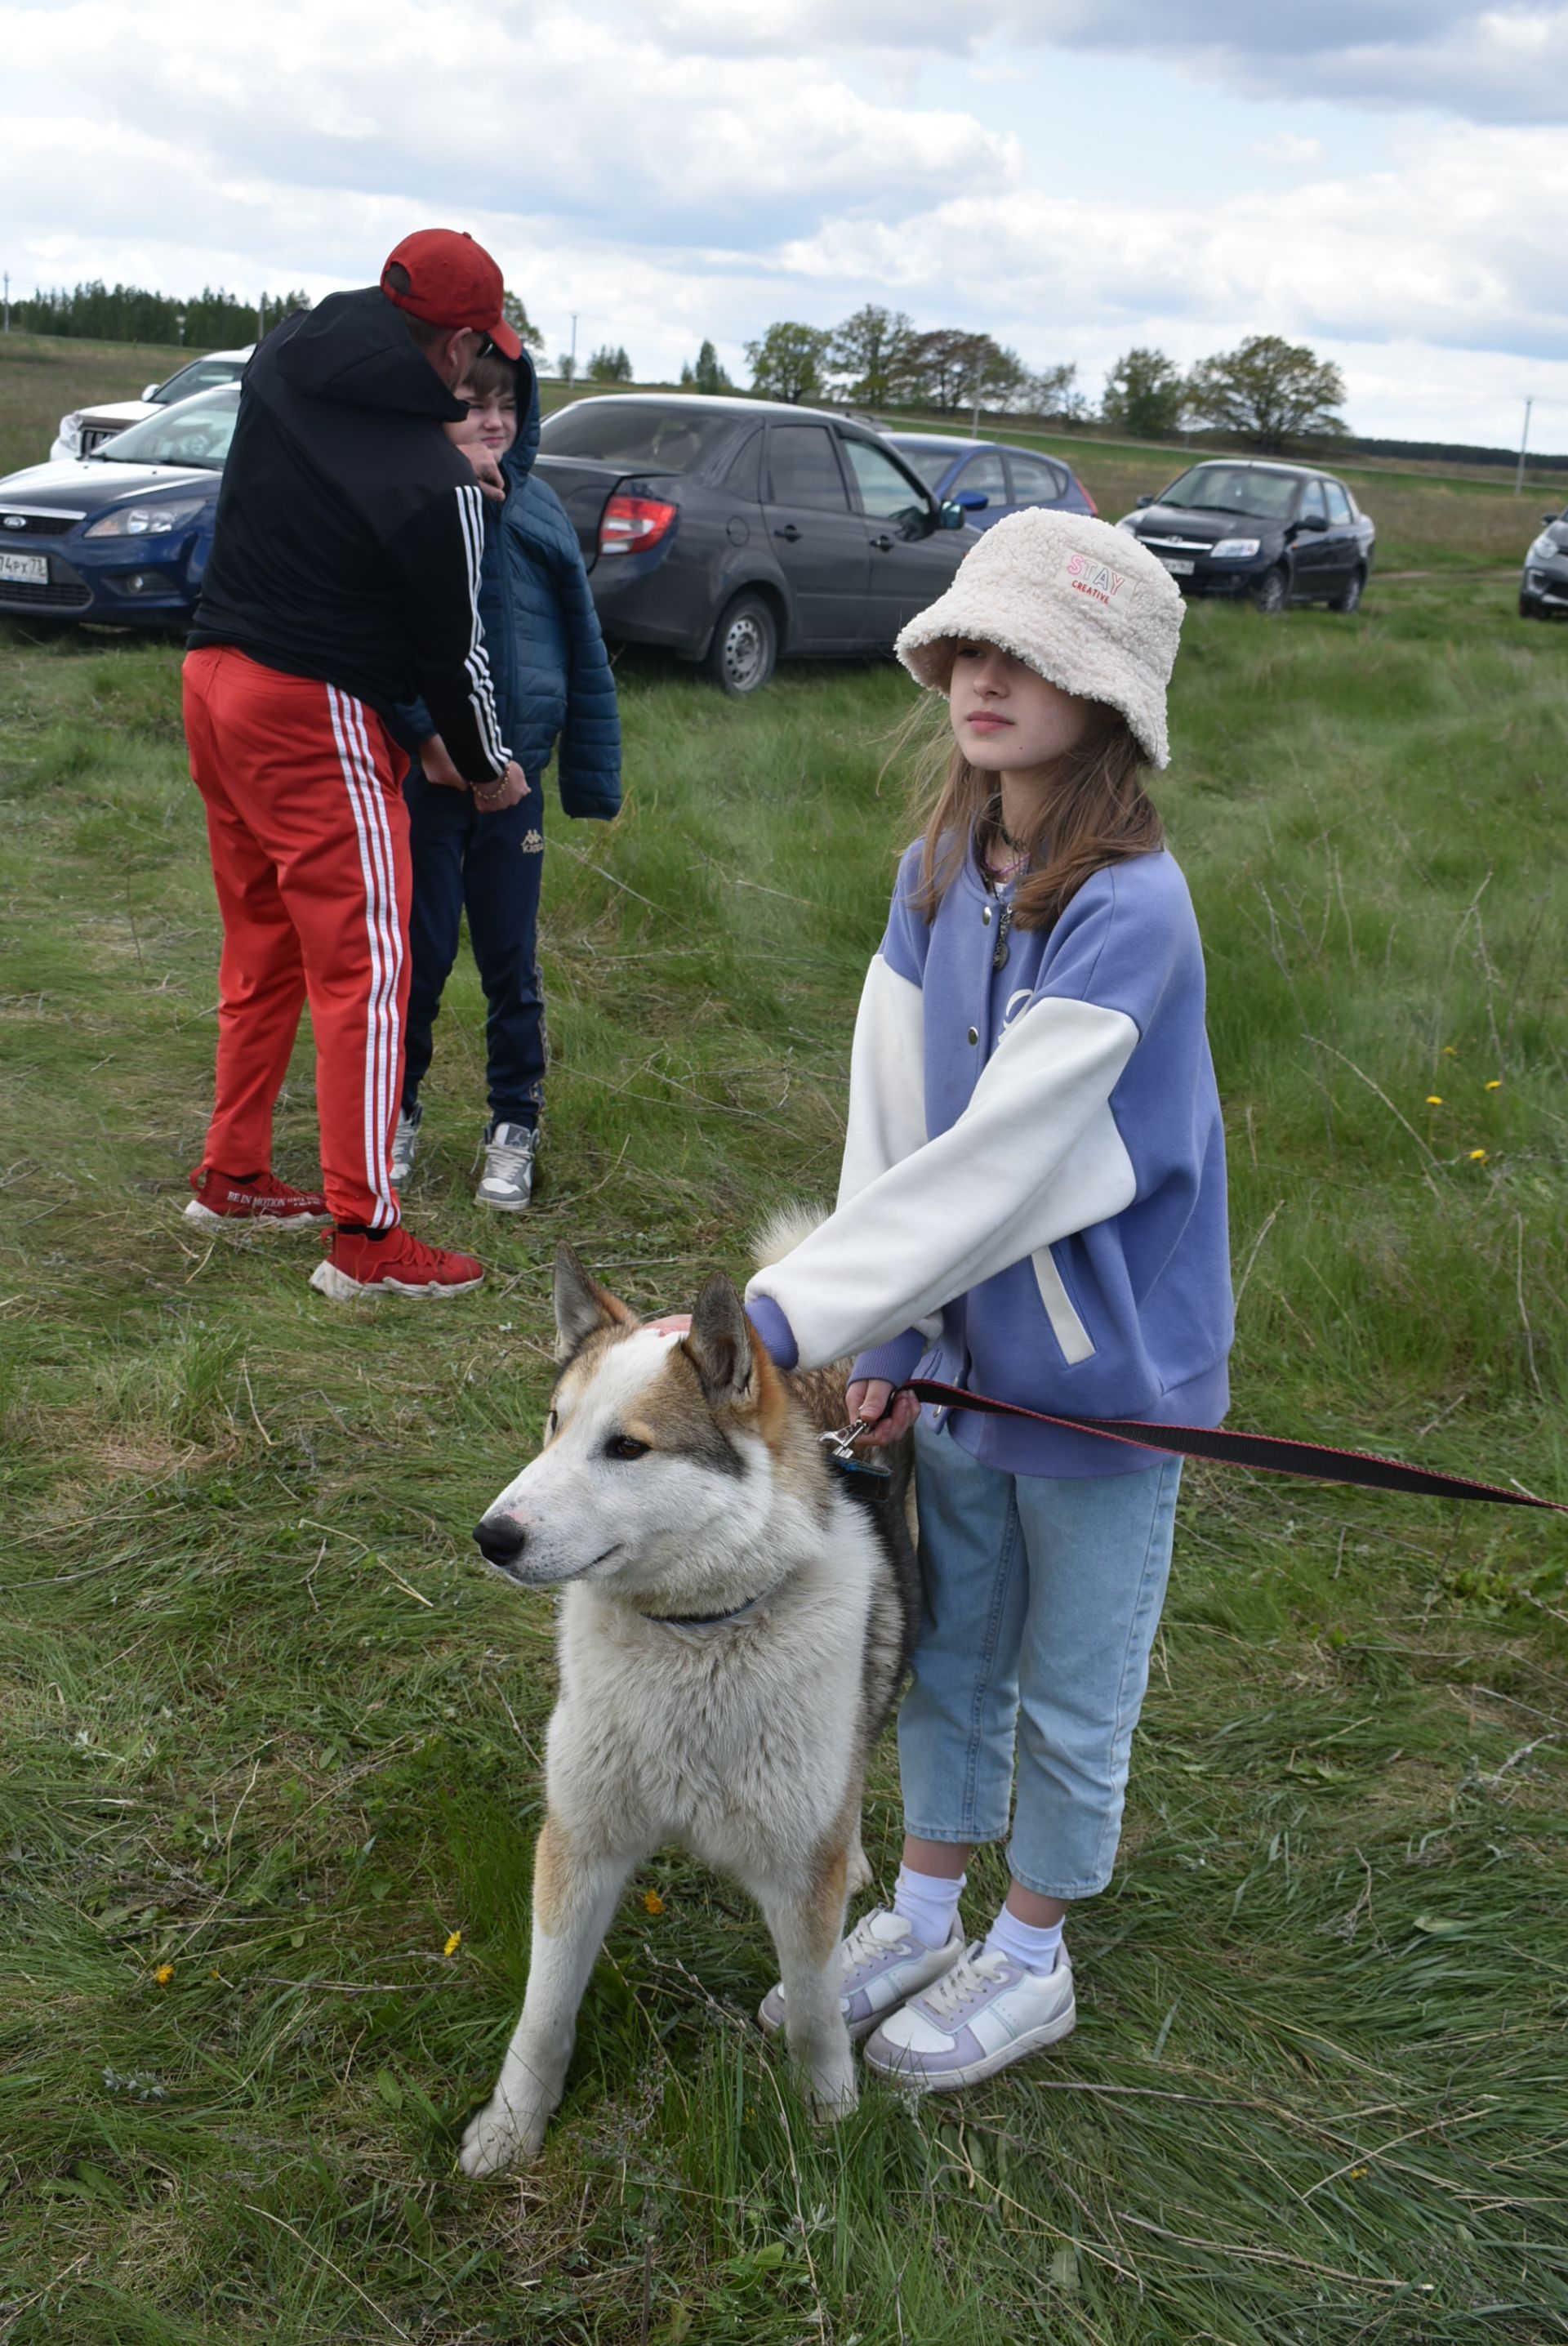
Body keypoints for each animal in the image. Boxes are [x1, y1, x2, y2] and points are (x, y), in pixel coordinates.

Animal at [454, 1247, 919, 2177]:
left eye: (627, 1447)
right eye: (553, 1425)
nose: (492, 1537)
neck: (694, 1636)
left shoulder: (796, 1874)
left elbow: (815, 2013)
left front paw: (830, 2116)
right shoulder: (580, 1844)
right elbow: (543, 2013)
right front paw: (513, 2124)